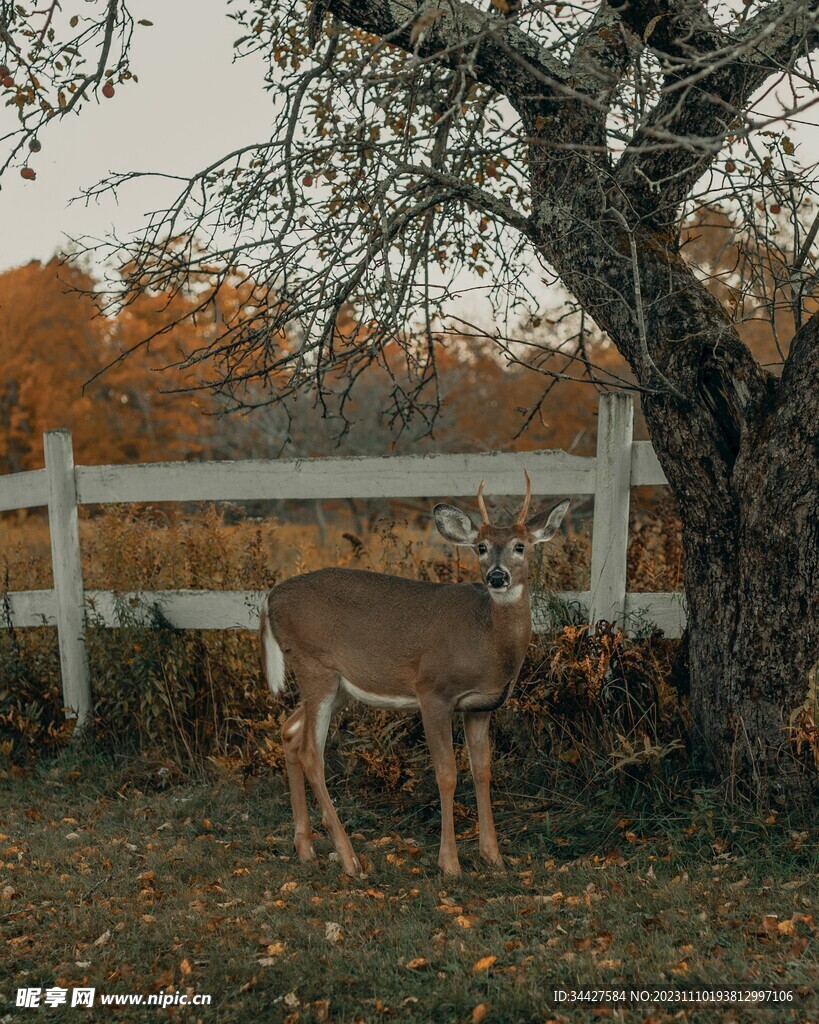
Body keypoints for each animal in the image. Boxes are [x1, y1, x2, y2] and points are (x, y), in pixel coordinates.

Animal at [259, 472, 570, 878]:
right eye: (481, 547)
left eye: (520, 546)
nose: (497, 576)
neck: (487, 639)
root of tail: (269, 600)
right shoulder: (433, 691)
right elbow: (447, 772)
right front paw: (450, 863)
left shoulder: (481, 706)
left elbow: (483, 771)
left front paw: (494, 857)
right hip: (315, 667)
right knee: (312, 752)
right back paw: (349, 859)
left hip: (340, 685)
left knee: (290, 732)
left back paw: (306, 849)